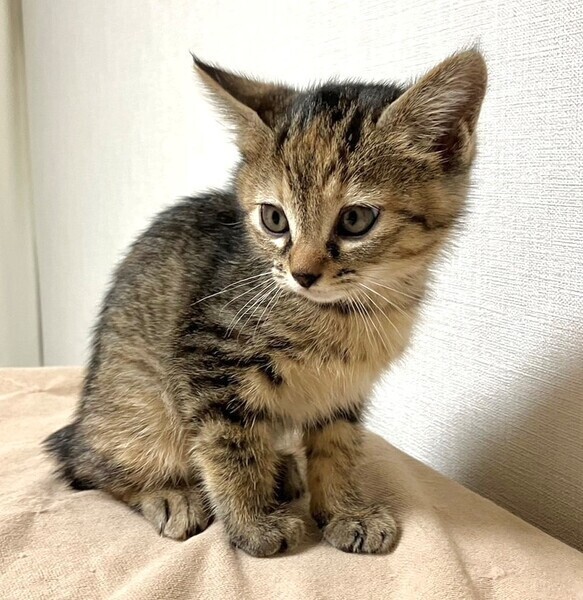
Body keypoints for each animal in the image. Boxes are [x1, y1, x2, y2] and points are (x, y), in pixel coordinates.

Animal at [45, 49, 487, 557]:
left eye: (356, 219)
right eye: (274, 218)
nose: (302, 273)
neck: (351, 312)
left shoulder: (344, 391)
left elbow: (338, 447)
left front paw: (343, 511)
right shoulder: (210, 361)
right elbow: (230, 445)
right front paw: (253, 524)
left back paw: (281, 468)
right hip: (140, 405)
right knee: (89, 466)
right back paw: (172, 494)